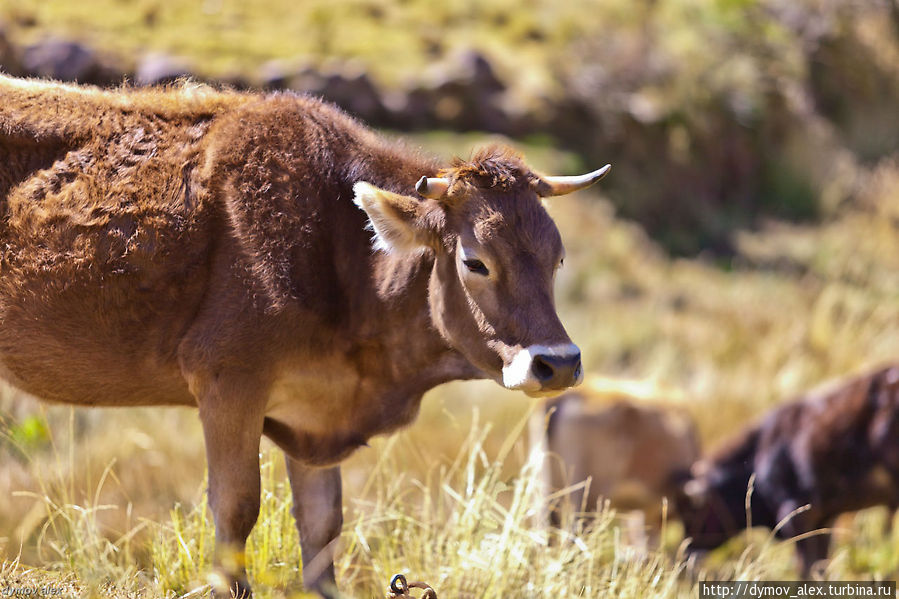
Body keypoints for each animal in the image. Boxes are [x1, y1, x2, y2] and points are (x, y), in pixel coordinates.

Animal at [0, 77, 612, 596]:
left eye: (557, 258)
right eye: (475, 261)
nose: (558, 363)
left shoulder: (315, 417)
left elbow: (322, 531)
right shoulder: (228, 380)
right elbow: (235, 511)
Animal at [676, 366, 899, 576]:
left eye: (693, 512)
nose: (686, 553)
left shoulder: (794, 513)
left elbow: (806, 567)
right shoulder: (824, 519)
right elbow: (820, 565)